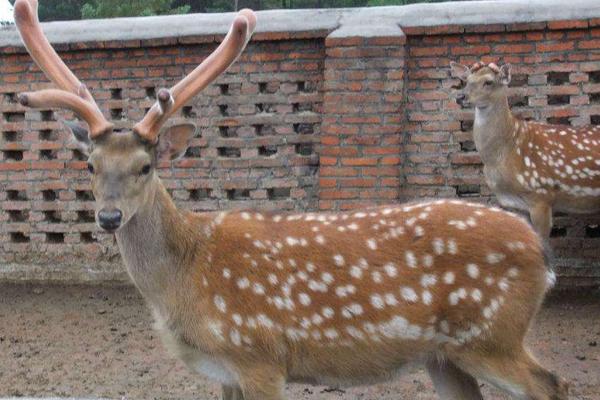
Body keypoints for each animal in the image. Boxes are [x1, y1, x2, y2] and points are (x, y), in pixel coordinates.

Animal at [14, 1, 568, 398]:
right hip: (445, 355)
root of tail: (541, 255)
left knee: (552, 383)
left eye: (145, 167)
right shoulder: (226, 372)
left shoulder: (260, 356)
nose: (108, 217)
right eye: (90, 165)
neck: (186, 277)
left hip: (491, 335)